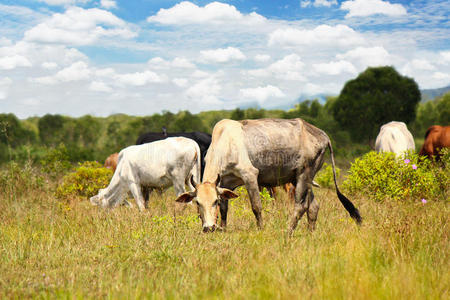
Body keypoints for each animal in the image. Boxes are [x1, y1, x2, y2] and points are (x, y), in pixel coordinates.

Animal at [176, 118, 362, 233]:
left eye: (214, 201)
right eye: (197, 202)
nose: (209, 228)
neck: (225, 143)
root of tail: (322, 135)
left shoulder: (250, 176)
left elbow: (256, 207)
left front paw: (260, 230)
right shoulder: (226, 184)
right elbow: (224, 209)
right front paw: (223, 229)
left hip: (304, 175)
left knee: (300, 206)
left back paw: (288, 232)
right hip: (302, 179)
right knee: (313, 207)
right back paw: (310, 233)